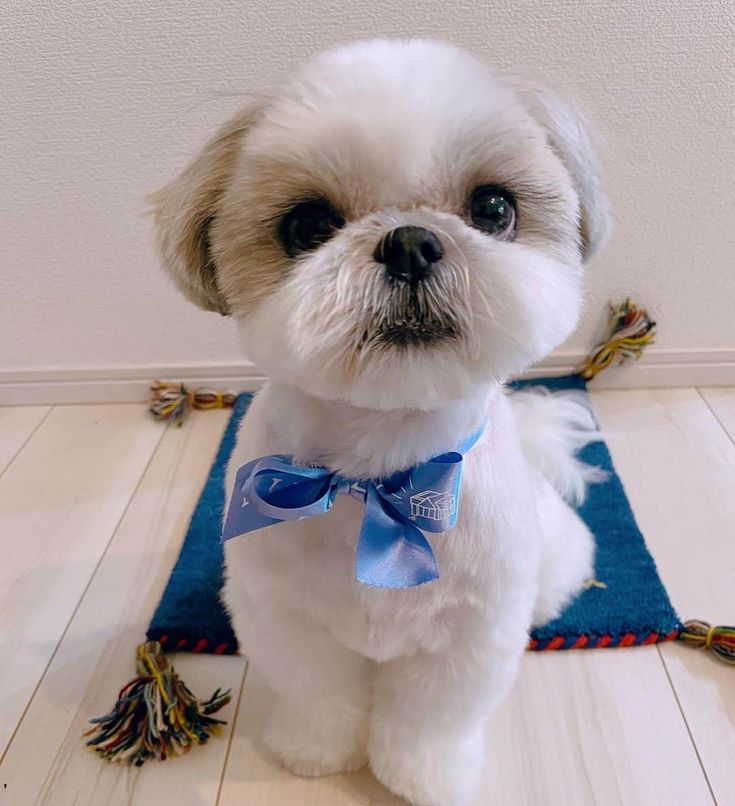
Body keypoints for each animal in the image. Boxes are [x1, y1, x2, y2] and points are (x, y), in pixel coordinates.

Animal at [154, 39, 608, 806]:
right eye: (307, 225)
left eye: (494, 207)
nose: (410, 242)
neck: (380, 476)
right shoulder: (286, 617)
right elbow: (317, 695)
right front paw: (313, 754)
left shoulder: (469, 635)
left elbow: (431, 721)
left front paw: (425, 778)